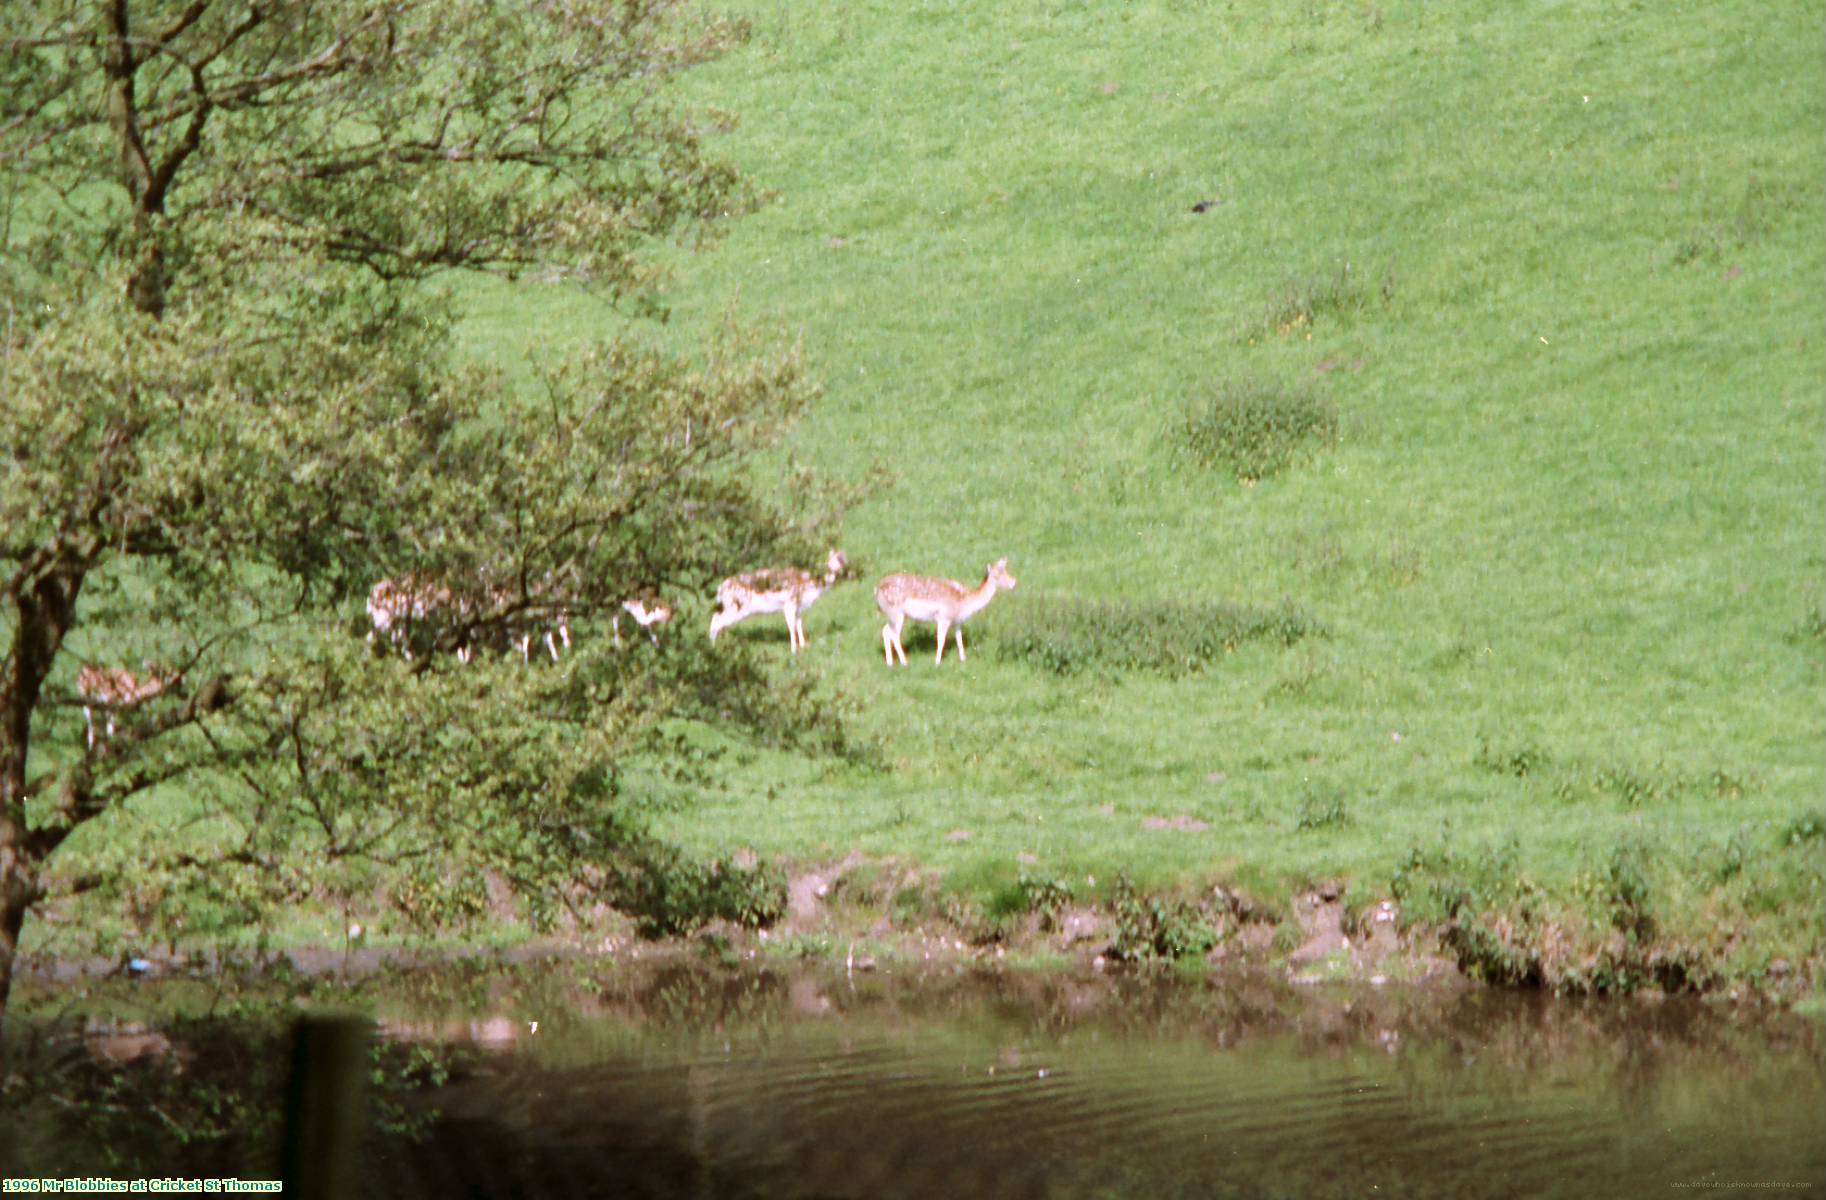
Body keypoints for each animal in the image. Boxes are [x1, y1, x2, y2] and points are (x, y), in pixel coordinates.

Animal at [704, 547, 847, 650]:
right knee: (717, 620)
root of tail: (720, 589)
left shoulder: (798, 607)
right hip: (736, 607)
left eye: (844, 556)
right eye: (839, 557)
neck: (810, 584)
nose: (846, 564)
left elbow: (799, 623)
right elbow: (791, 625)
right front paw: (793, 649)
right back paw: (713, 647)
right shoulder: (789, 603)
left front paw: (803, 646)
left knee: (717, 618)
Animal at [869, 555, 1015, 664]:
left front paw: (963, 659)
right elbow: (941, 639)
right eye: (997, 575)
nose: (1013, 583)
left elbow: (959, 639)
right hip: (896, 613)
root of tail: (876, 590)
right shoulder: (944, 617)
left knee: (885, 630)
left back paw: (890, 662)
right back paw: (904, 662)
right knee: (894, 634)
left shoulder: (957, 621)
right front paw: (937, 662)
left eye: (1006, 571)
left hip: (892, 614)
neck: (965, 602)